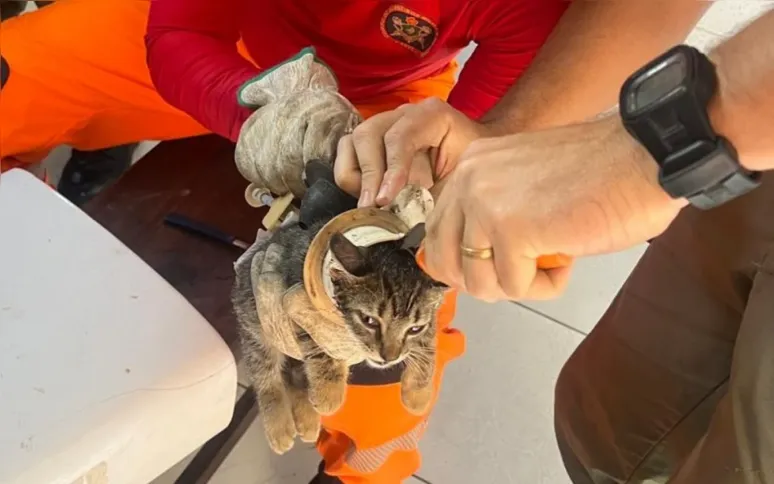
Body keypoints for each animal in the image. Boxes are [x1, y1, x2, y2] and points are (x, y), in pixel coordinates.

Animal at [233, 216, 446, 454]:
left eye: (414, 329)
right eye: (369, 321)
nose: (389, 358)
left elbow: (428, 344)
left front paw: (419, 391)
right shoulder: (293, 301)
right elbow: (318, 346)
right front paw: (329, 391)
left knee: (297, 374)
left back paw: (307, 419)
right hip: (255, 324)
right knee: (265, 375)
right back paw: (279, 426)